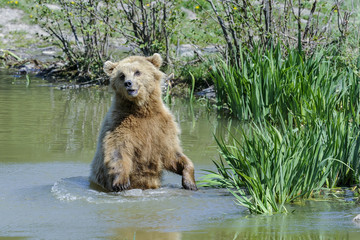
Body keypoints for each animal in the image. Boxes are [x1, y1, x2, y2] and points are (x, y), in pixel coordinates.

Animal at [89, 54, 197, 191]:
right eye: (122, 75)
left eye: (137, 72)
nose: (128, 83)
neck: (141, 110)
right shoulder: (117, 123)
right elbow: (117, 150)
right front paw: (121, 182)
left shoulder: (163, 127)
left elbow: (172, 155)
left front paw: (190, 183)